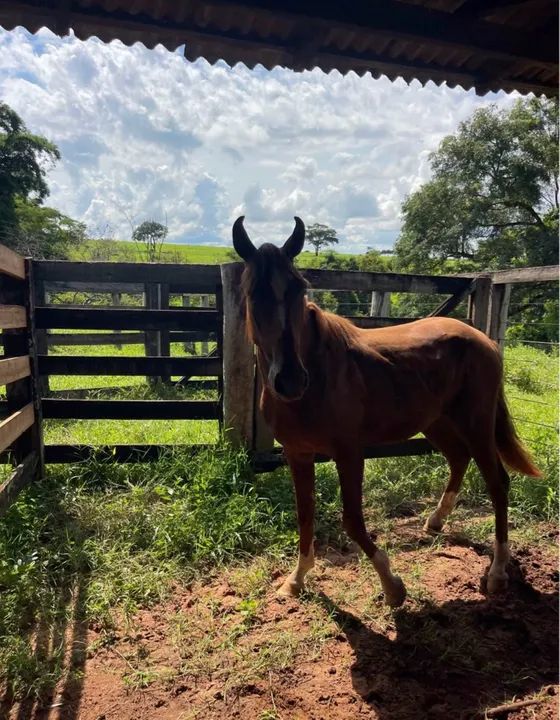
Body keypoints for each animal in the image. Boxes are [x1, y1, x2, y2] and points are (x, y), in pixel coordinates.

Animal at [232, 216, 540, 607]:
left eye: (300, 289)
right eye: (253, 293)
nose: (290, 381)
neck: (318, 375)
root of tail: (483, 340)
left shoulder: (349, 452)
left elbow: (352, 520)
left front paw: (392, 586)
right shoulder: (297, 453)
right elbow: (305, 514)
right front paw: (296, 580)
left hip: (477, 423)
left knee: (497, 482)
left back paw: (497, 573)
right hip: (438, 422)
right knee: (459, 459)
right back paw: (435, 522)